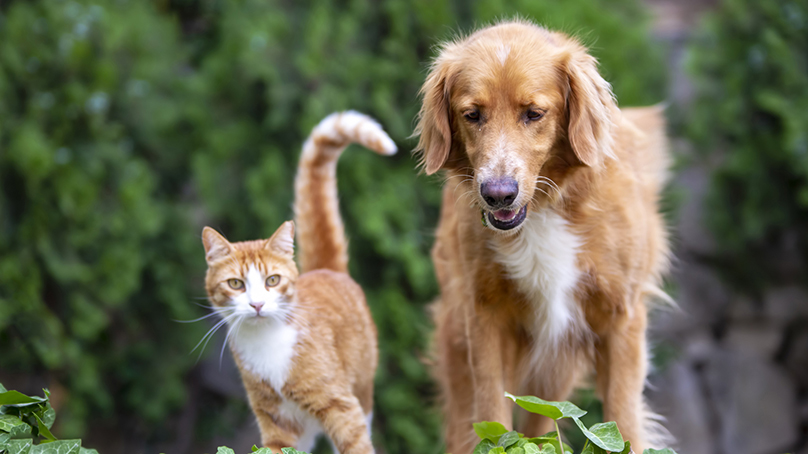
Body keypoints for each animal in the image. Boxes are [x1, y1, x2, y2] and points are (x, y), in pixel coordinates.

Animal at [199, 111, 394, 454]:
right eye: (236, 284)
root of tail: (325, 268)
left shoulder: (343, 407)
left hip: (363, 387)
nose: (257, 304)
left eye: (272, 280)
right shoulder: (277, 424)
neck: (266, 345)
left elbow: (355, 444)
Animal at [414, 19, 672, 452]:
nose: (498, 194)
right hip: (460, 338)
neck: (546, 207)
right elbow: (493, 418)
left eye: (533, 114)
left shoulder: (621, 321)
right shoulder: (484, 319)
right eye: (472, 114)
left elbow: (623, 421)